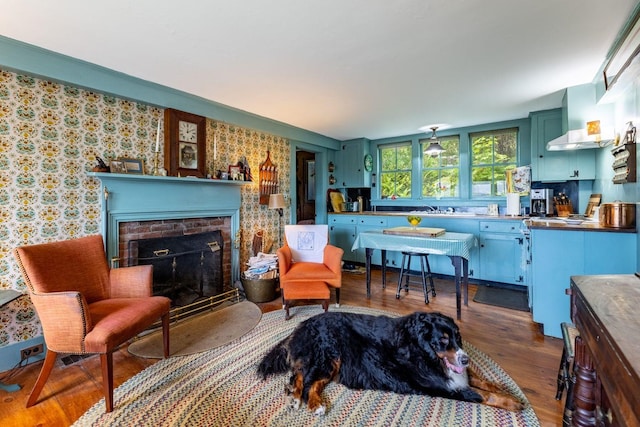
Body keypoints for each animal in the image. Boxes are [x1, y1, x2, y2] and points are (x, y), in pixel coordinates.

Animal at [256, 312, 524, 416]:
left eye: (458, 338)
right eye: (443, 340)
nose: (465, 357)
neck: (421, 349)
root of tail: (304, 324)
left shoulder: (455, 374)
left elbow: (479, 379)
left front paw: (503, 387)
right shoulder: (444, 386)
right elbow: (480, 394)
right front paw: (513, 402)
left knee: (301, 377)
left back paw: (299, 397)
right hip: (329, 355)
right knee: (305, 380)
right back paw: (310, 403)